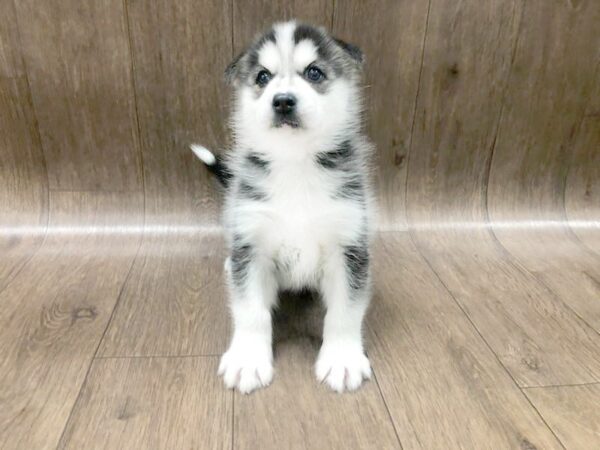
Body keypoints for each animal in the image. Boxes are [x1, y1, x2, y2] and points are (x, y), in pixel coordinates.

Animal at [191, 20, 376, 394]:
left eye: (314, 72)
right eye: (263, 77)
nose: (283, 101)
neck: (296, 163)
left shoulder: (349, 245)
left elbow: (345, 311)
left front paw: (342, 359)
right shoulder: (251, 241)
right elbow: (251, 311)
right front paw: (248, 359)